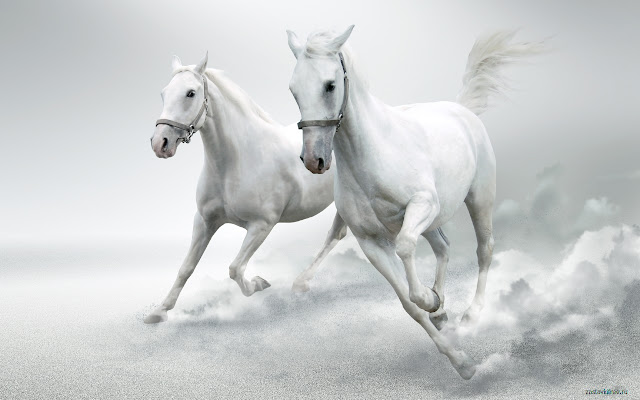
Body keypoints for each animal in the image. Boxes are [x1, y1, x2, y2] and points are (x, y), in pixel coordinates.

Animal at [144, 53, 348, 324]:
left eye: (190, 93)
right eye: (164, 93)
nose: (160, 143)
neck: (237, 161)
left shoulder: (262, 225)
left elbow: (235, 269)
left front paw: (259, 283)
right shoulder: (204, 222)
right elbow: (186, 268)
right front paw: (159, 311)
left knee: (335, 235)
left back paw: (301, 282)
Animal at [286, 27, 544, 378]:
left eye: (330, 85)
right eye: (293, 90)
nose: (314, 160)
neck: (373, 155)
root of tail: (461, 110)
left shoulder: (422, 205)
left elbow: (407, 248)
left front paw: (429, 299)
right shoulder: (371, 242)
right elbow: (409, 305)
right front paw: (459, 358)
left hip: (479, 198)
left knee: (484, 249)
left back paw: (471, 314)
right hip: (434, 221)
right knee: (444, 246)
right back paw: (442, 310)